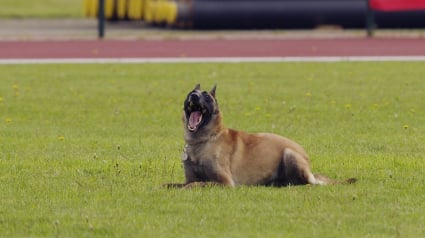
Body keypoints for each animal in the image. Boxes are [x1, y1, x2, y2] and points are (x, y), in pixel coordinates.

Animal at [165, 83, 354, 188]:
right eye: (190, 93)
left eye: (205, 95)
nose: (194, 95)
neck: (204, 140)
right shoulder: (189, 178)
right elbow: (174, 184)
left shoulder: (225, 183)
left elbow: (196, 184)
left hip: (289, 154)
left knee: (307, 183)